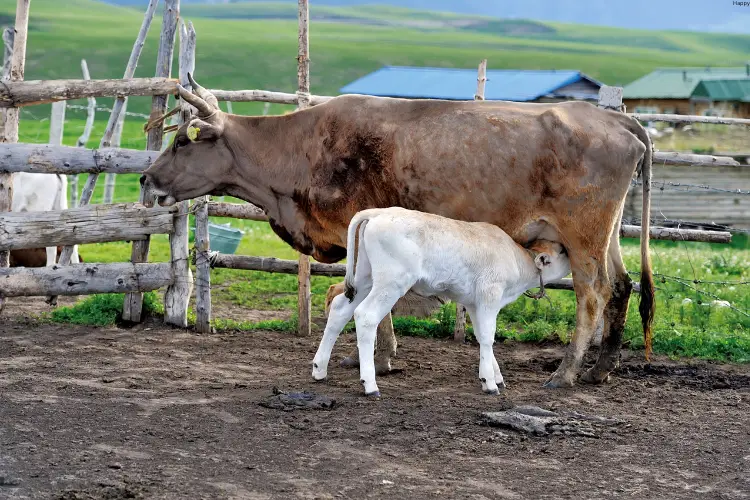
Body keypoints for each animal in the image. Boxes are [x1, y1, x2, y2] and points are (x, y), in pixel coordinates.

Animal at [314, 205, 572, 396]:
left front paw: (496, 377)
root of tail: (377, 212)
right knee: (366, 316)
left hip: (365, 277)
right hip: (391, 282)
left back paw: (319, 369)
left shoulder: (474, 302)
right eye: (560, 252)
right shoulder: (490, 295)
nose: (570, 252)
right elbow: (489, 336)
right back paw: (370, 385)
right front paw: (489, 383)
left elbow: (481, 336)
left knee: (340, 310)